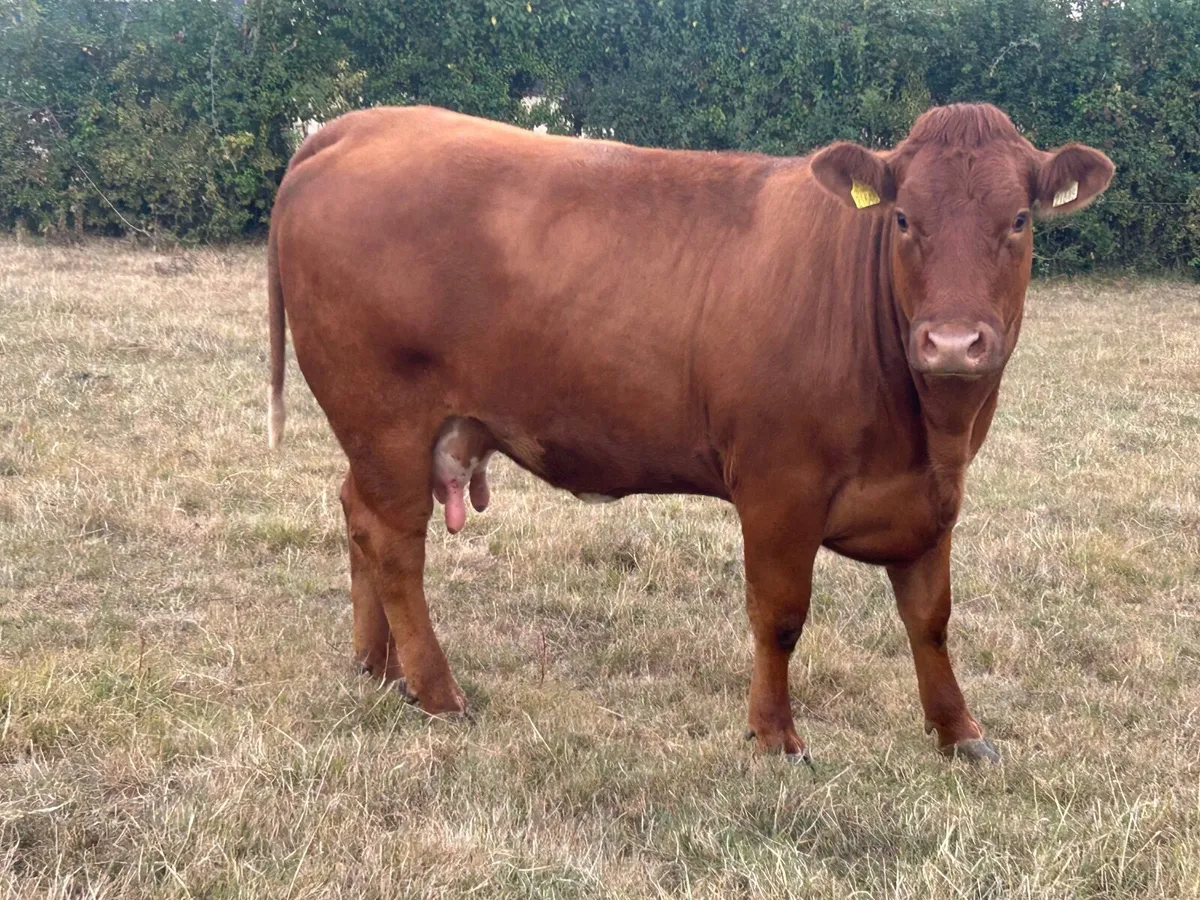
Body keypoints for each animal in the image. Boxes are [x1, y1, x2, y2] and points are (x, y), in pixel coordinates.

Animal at [266, 103, 1113, 762]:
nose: (953, 343)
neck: (929, 431)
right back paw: (438, 691)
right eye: (905, 219)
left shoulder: (932, 499)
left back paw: (379, 667)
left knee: (358, 517)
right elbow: (780, 617)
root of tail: (359, 124)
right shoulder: (779, 487)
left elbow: (931, 620)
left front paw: (959, 732)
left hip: (394, 439)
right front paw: (775, 738)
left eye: (1019, 220)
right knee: (394, 545)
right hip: (384, 417)